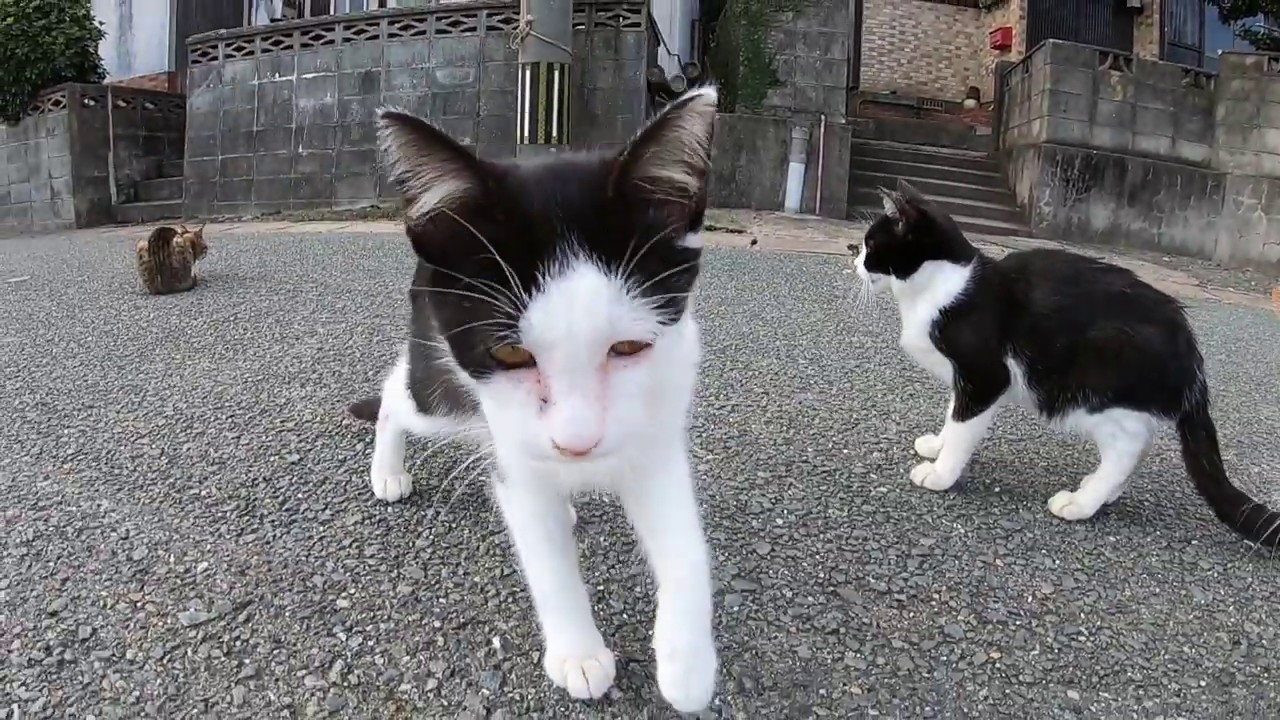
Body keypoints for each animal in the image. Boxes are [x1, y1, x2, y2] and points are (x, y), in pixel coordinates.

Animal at [345, 87, 727, 707]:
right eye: (509, 355)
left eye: (628, 346)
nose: (577, 444)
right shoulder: (511, 448)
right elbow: (544, 554)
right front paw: (579, 654)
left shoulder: (658, 421)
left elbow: (685, 540)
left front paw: (688, 663)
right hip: (441, 393)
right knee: (400, 393)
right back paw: (388, 469)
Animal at [849, 179, 1280, 543]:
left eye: (871, 243)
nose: (852, 257)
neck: (941, 288)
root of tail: (1188, 346)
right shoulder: (965, 379)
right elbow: (953, 411)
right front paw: (937, 445)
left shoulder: (985, 374)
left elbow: (962, 426)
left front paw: (941, 473)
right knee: (1140, 441)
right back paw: (1102, 493)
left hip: (1090, 388)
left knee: (1127, 447)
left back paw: (1081, 502)